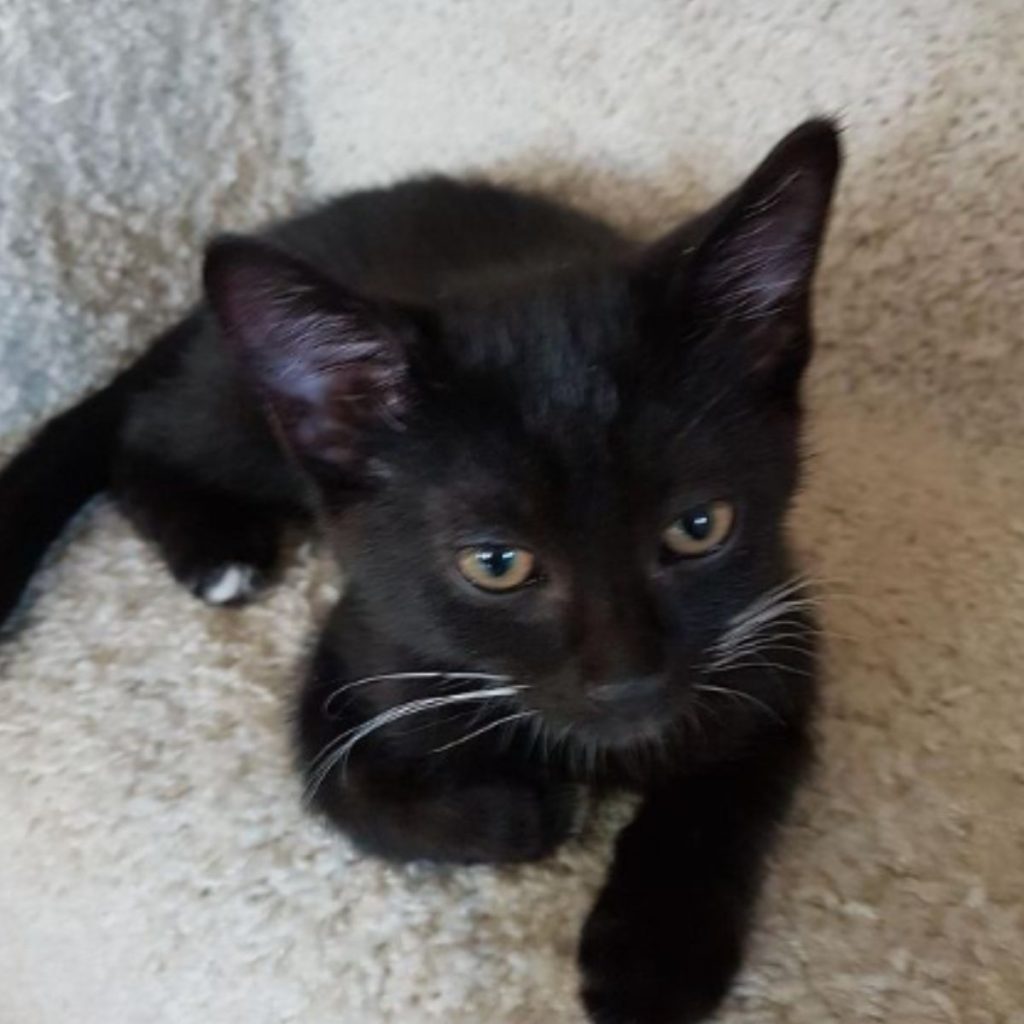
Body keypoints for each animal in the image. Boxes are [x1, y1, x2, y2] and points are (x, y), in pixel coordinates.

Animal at [2, 121, 839, 1024]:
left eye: (699, 527)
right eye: (496, 564)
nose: (628, 681)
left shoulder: (772, 621)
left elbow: (729, 785)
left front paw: (653, 958)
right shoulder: (370, 638)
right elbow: (352, 794)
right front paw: (532, 806)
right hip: (243, 420)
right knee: (140, 434)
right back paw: (217, 550)